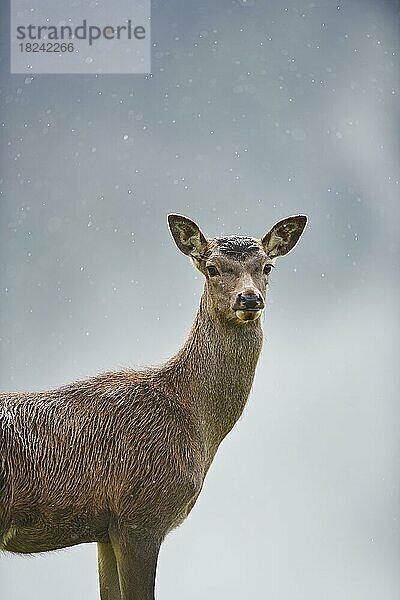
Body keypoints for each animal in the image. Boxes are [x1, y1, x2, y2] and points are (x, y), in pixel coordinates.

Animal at [0, 213, 306, 596]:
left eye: (267, 266)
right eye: (212, 268)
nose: (249, 299)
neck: (194, 423)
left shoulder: (104, 531)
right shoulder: (141, 515)